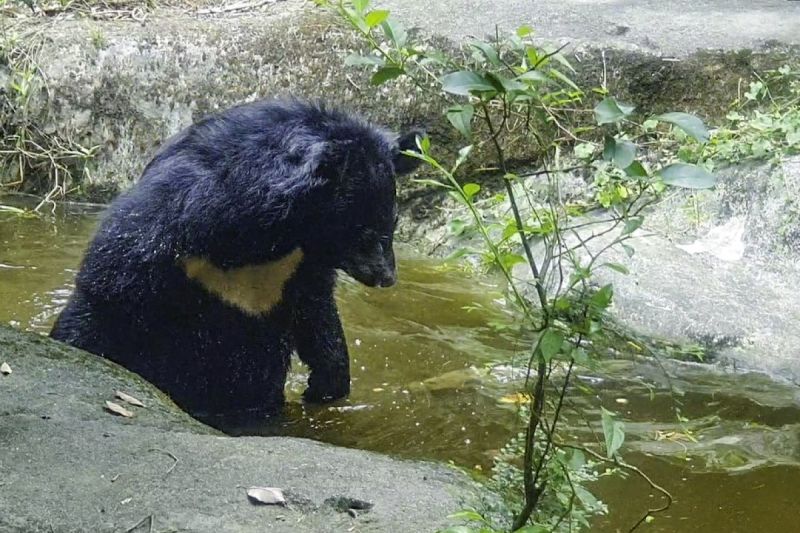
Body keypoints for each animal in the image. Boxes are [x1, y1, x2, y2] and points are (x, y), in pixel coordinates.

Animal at [50, 100, 422, 420]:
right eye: (362, 231)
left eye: (392, 223)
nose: (386, 277)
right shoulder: (157, 230)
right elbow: (105, 295)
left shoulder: (298, 267)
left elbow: (317, 315)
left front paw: (326, 386)